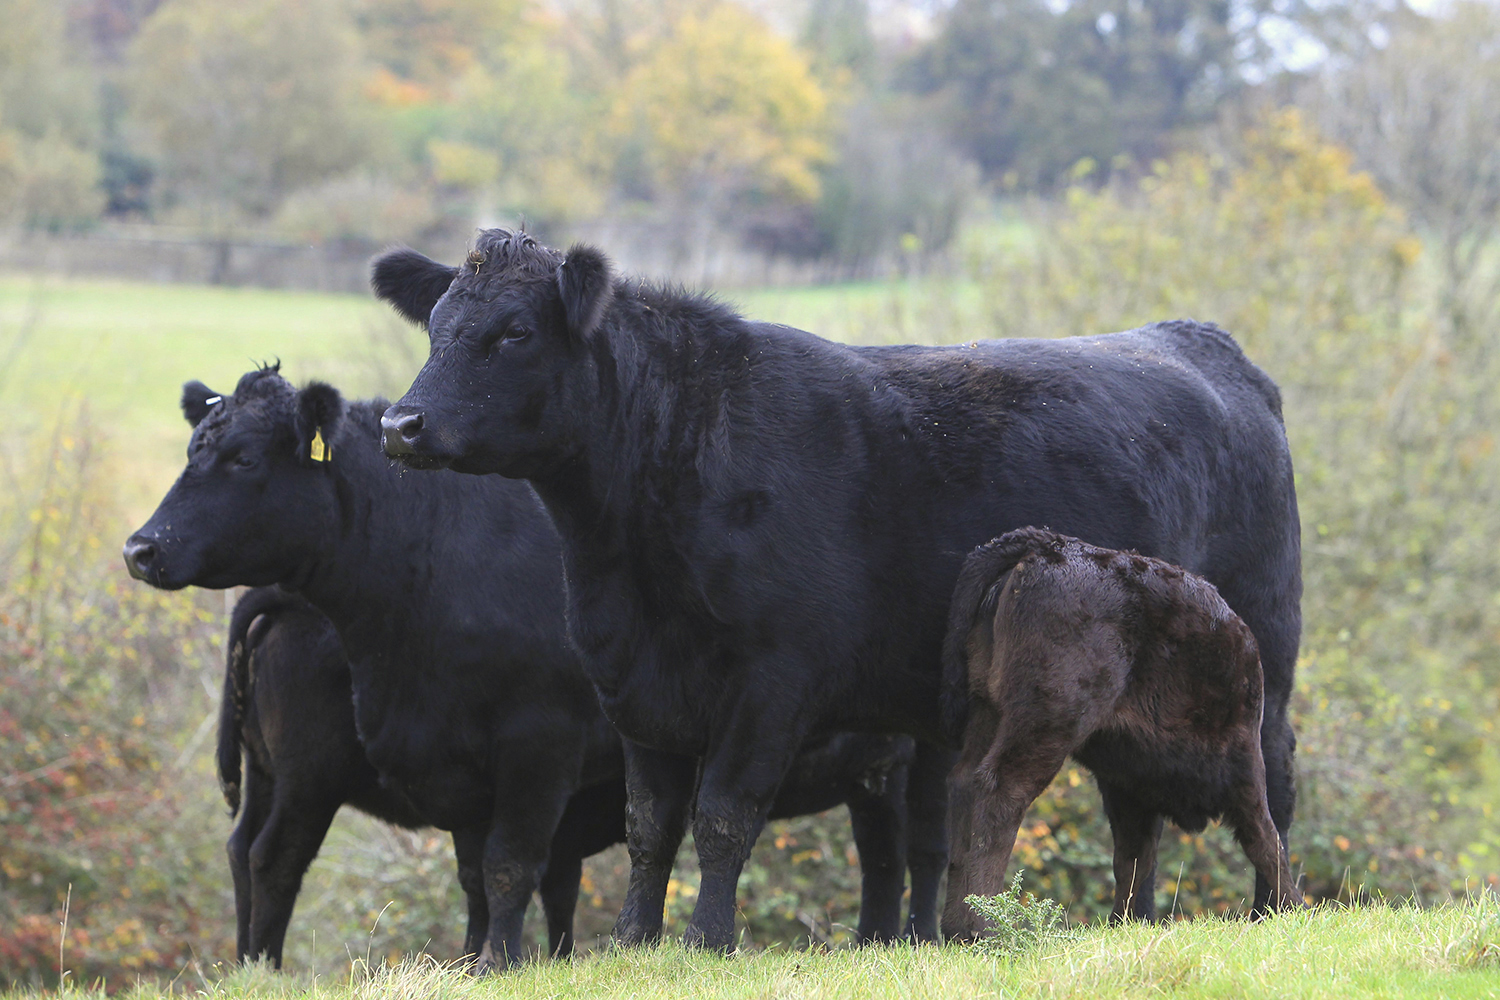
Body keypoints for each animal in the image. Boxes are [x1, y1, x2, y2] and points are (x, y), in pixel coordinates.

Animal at [132, 367, 948, 971]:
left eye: (243, 458)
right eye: (192, 449)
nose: (141, 547)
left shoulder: (537, 748)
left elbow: (508, 867)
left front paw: (494, 963)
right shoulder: (462, 765)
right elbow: (487, 874)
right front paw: (480, 964)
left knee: (902, 850)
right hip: (293, 773)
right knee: (260, 854)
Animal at [375, 229, 1302, 953]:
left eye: (515, 332)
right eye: (437, 326)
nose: (399, 424)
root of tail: (1196, 338)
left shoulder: (772, 682)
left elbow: (722, 815)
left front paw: (709, 942)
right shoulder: (634, 685)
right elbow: (650, 827)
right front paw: (635, 943)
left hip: (1261, 649)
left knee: (1272, 775)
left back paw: (1272, 911)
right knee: (1132, 801)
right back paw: (1132, 923)